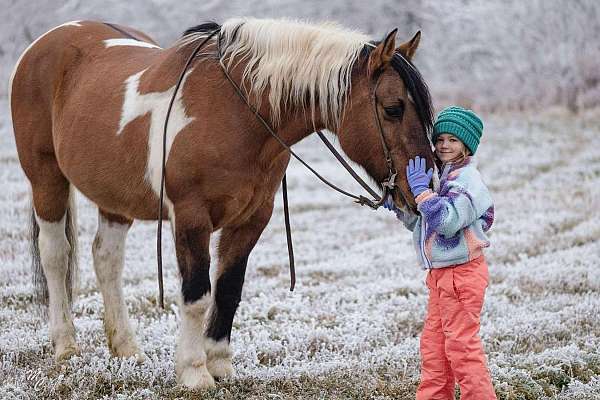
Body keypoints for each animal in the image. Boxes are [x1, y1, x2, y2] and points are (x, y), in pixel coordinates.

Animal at [9, 17, 436, 390]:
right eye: (393, 108)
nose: (424, 187)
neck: (236, 112)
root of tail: (43, 45)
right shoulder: (191, 218)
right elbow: (197, 294)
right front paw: (193, 371)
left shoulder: (251, 220)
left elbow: (228, 290)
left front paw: (220, 365)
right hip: (46, 179)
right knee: (55, 255)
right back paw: (66, 346)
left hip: (114, 196)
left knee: (106, 259)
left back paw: (127, 349)